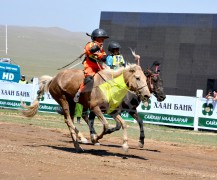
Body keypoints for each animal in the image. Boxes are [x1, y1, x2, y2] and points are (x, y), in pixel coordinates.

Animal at [22, 64, 151, 153]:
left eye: (146, 78)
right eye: (138, 78)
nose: (147, 95)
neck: (108, 86)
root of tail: (53, 79)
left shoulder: (113, 111)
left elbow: (123, 124)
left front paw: (125, 145)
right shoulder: (95, 108)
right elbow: (106, 125)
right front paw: (95, 138)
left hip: (72, 103)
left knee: (69, 120)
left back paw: (77, 145)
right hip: (63, 100)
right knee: (69, 121)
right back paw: (81, 139)